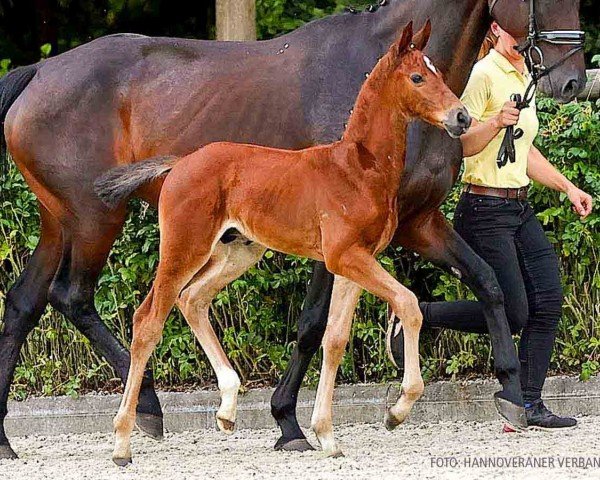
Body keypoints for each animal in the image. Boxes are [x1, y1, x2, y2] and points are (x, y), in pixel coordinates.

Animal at [96, 22, 472, 464]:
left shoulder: (353, 262)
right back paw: (122, 442)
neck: (357, 169)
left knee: (193, 300)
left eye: (438, 73)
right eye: (416, 77)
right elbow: (409, 304)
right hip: (184, 247)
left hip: (237, 252)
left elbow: (335, 339)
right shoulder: (346, 257)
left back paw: (227, 408)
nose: (462, 116)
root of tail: (179, 164)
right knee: (148, 320)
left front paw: (326, 434)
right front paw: (397, 410)